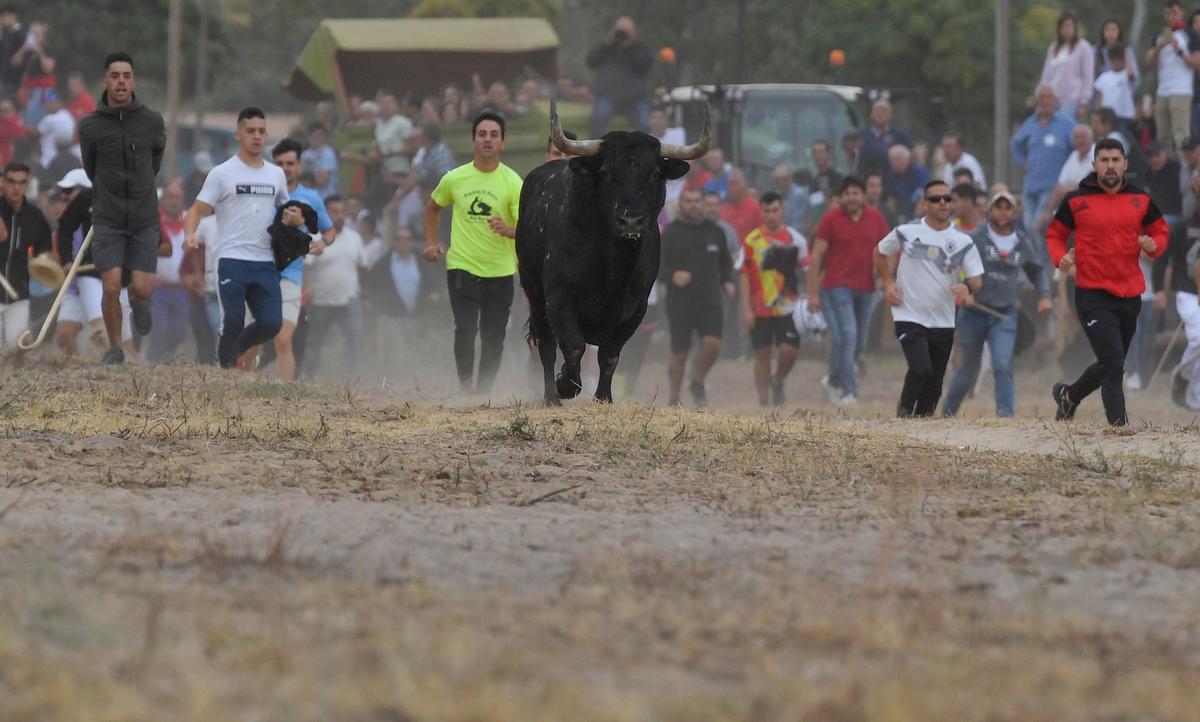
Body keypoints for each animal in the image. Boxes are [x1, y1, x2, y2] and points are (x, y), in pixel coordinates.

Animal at [518, 101, 710, 405]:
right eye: (607, 172)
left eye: (654, 173)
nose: (631, 221)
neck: (613, 266)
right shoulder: (559, 297)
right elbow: (573, 347)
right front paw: (566, 384)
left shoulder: (636, 307)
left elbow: (609, 356)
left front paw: (604, 397)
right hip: (533, 289)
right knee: (546, 344)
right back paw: (551, 396)